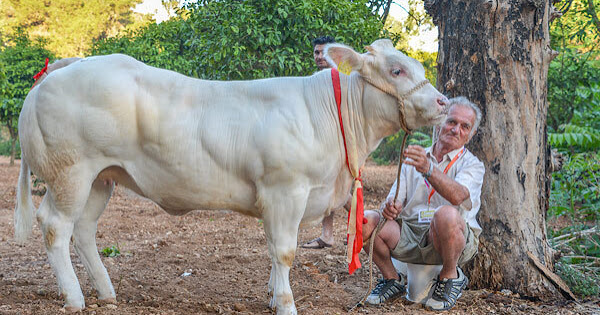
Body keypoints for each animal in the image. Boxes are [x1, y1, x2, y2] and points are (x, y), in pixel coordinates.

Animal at [14, 40, 448, 315]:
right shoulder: (285, 191)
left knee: (84, 229)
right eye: (396, 70)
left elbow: (273, 251)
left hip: (101, 178)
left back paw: (106, 293)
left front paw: (273, 296)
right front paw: (286, 304)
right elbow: (284, 251)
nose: (444, 102)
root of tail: (63, 68)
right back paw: (74, 298)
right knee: (55, 226)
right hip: (71, 172)